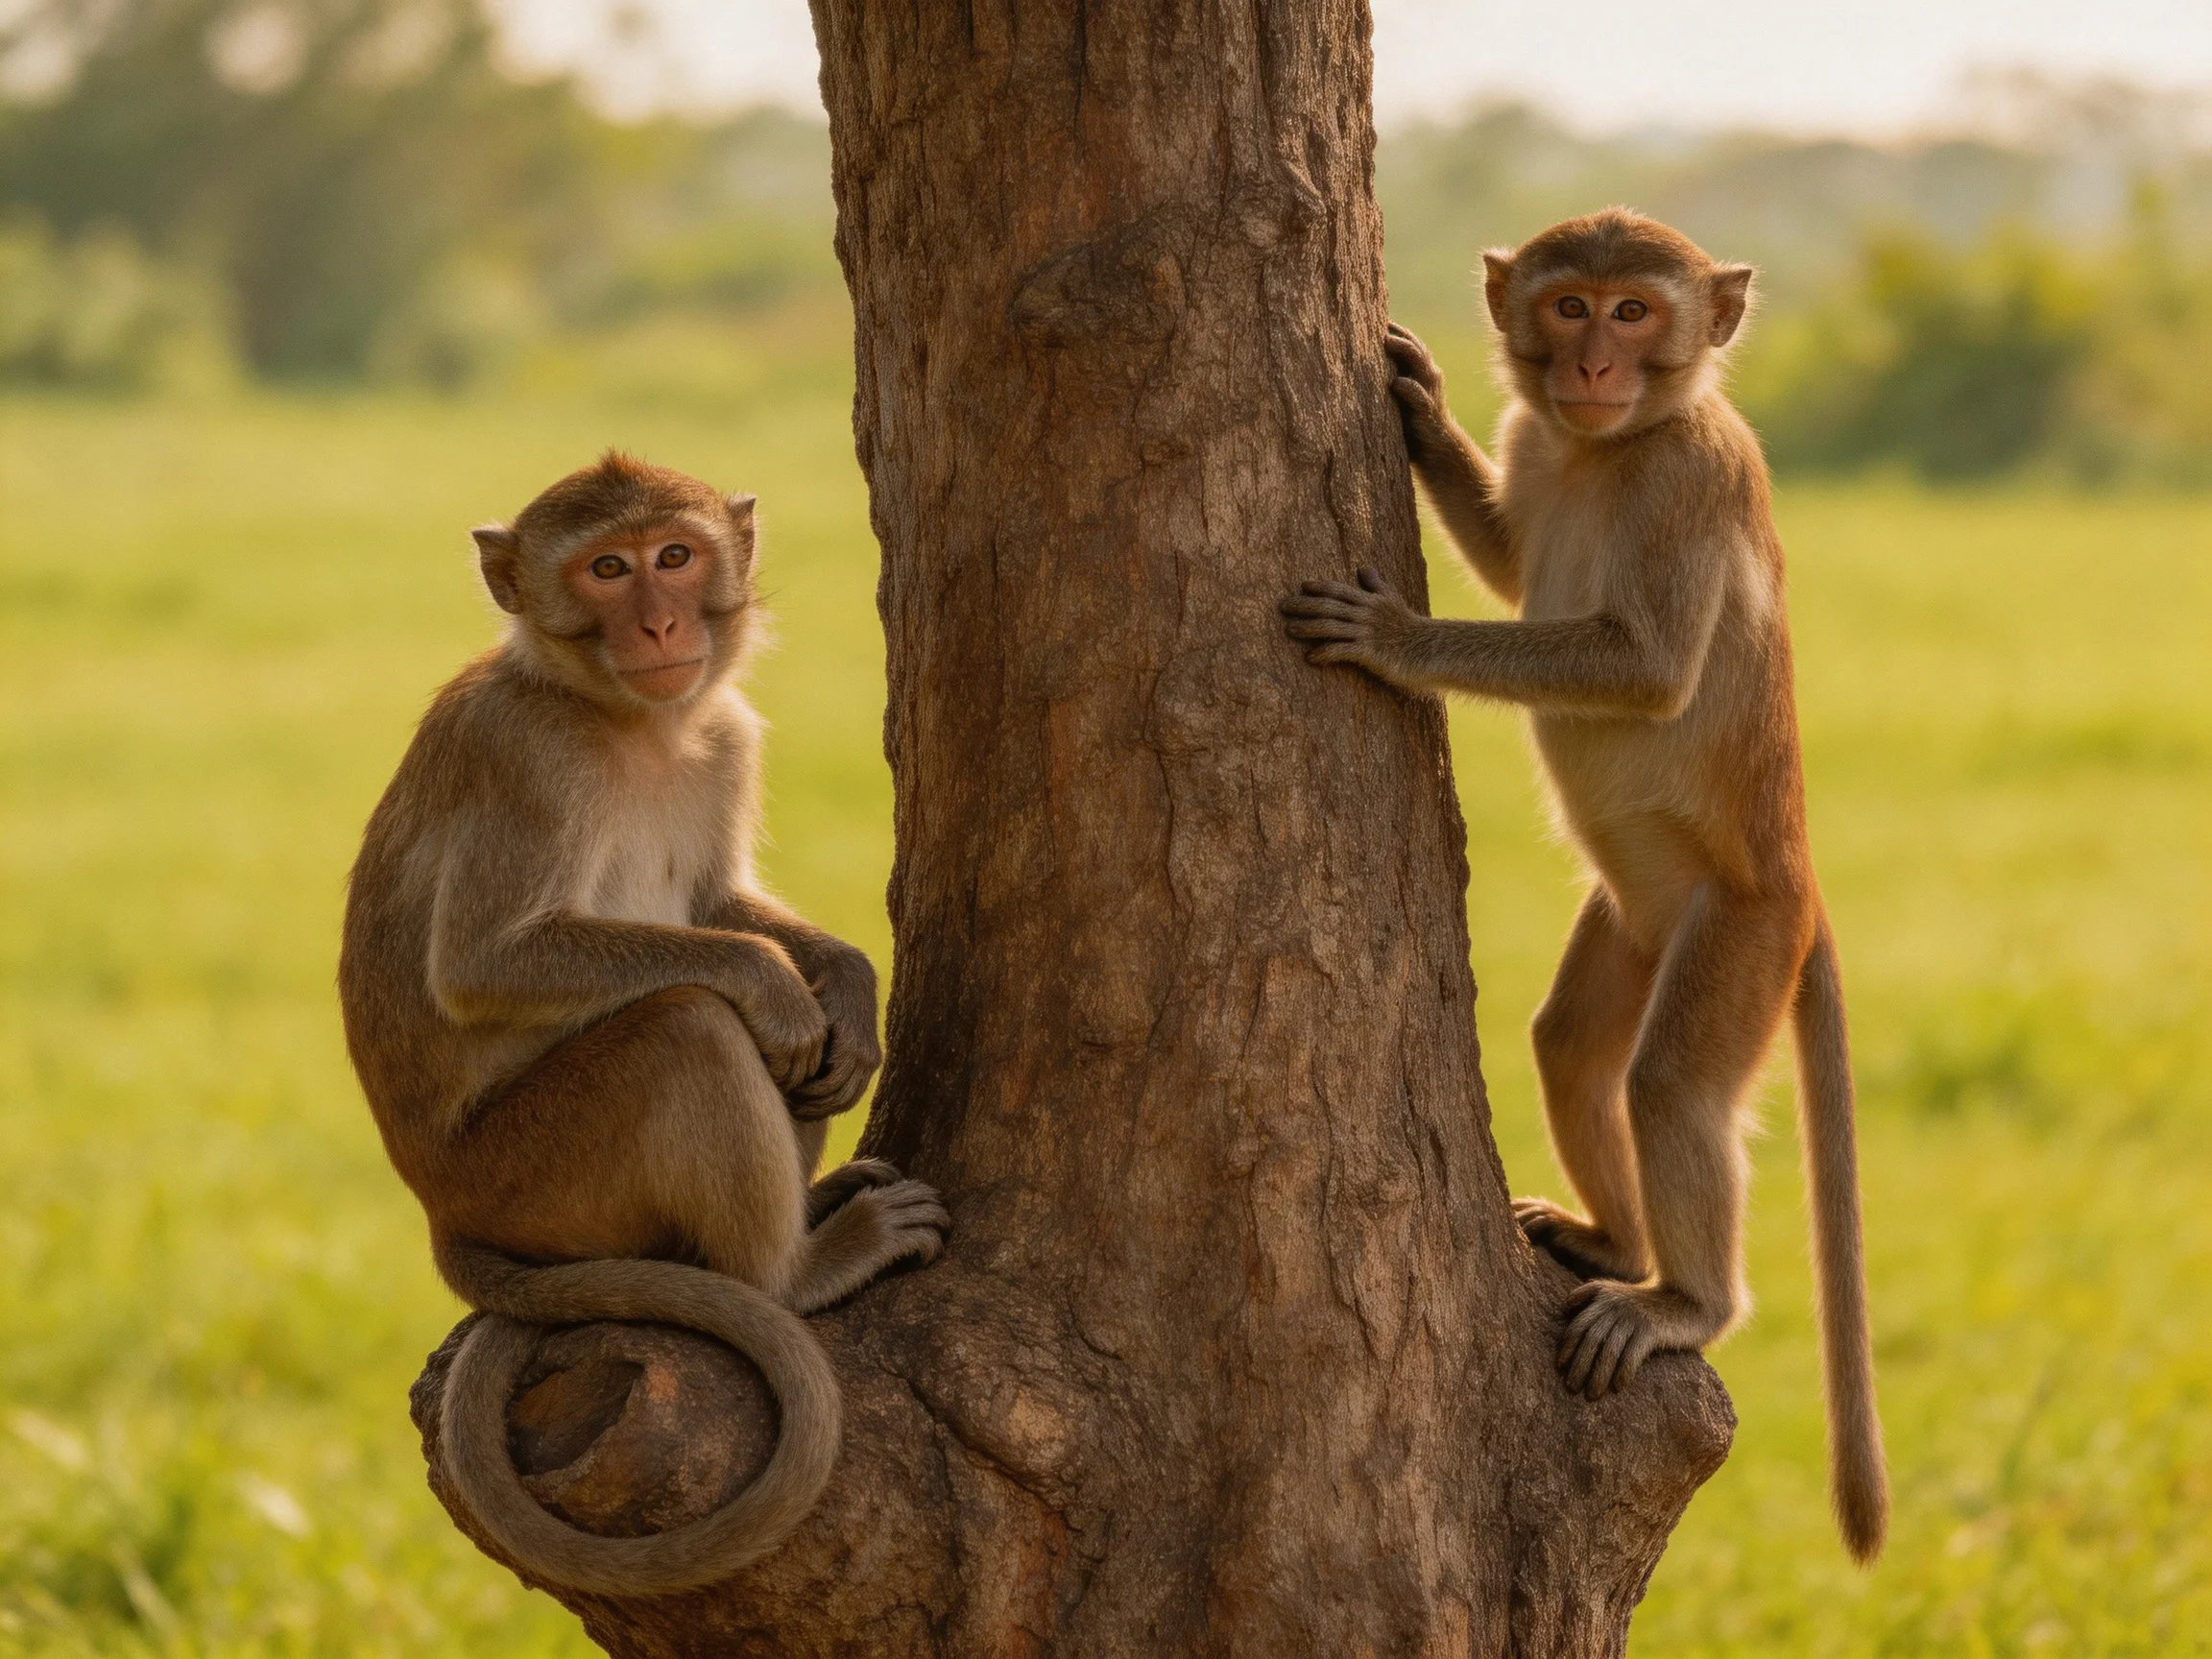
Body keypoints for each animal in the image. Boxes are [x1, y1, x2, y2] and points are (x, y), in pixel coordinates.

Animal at [338, 452, 949, 1595]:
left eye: (674, 556)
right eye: (608, 570)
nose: (661, 623)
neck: (628, 718)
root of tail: (440, 1207)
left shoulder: (729, 736)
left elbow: (716, 902)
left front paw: (848, 983)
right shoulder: (528, 756)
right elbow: (487, 962)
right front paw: (772, 981)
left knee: (790, 1061)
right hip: (533, 1175)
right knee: (690, 1030)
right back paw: (793, 1271)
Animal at [1280, 210, 1887, 1563]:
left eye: (1633, 311)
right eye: (1569, 306)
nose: (1594, 367)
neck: (1608, 443)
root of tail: (1805, 884)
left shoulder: (1689, 479)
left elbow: (1646, 666)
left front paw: (1399, 640)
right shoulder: (1539, 440)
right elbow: (1518, 563)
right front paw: (1422, 409)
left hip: (1739, 931)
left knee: (1670, 1085)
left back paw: (1686, 1301)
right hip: (1637, 920)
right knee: (1571, 1044)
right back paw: (1614, 1239)